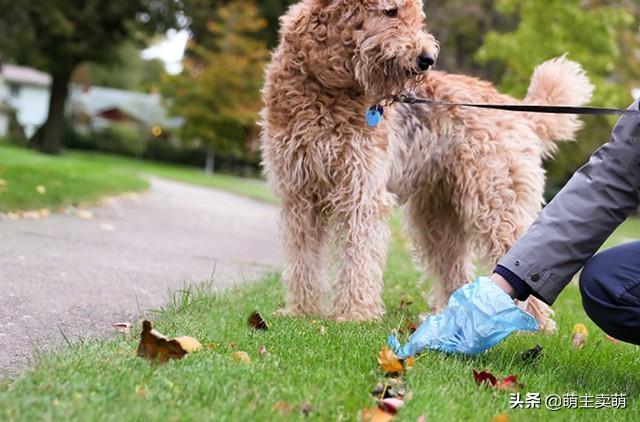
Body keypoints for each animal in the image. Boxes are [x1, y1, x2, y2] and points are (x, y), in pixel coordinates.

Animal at [258, 0, 592, 324]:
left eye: (417, 16)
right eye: (391, 11)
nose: (427, 58)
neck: (325, 86)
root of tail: (520, 111)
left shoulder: (362, 192)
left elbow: (359, 256)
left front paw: (355, 314)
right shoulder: (299, 194)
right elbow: (302, 258)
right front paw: (302, 311)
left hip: (496, 202)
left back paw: (532, 325)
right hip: (438, 217)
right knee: (455, 268)